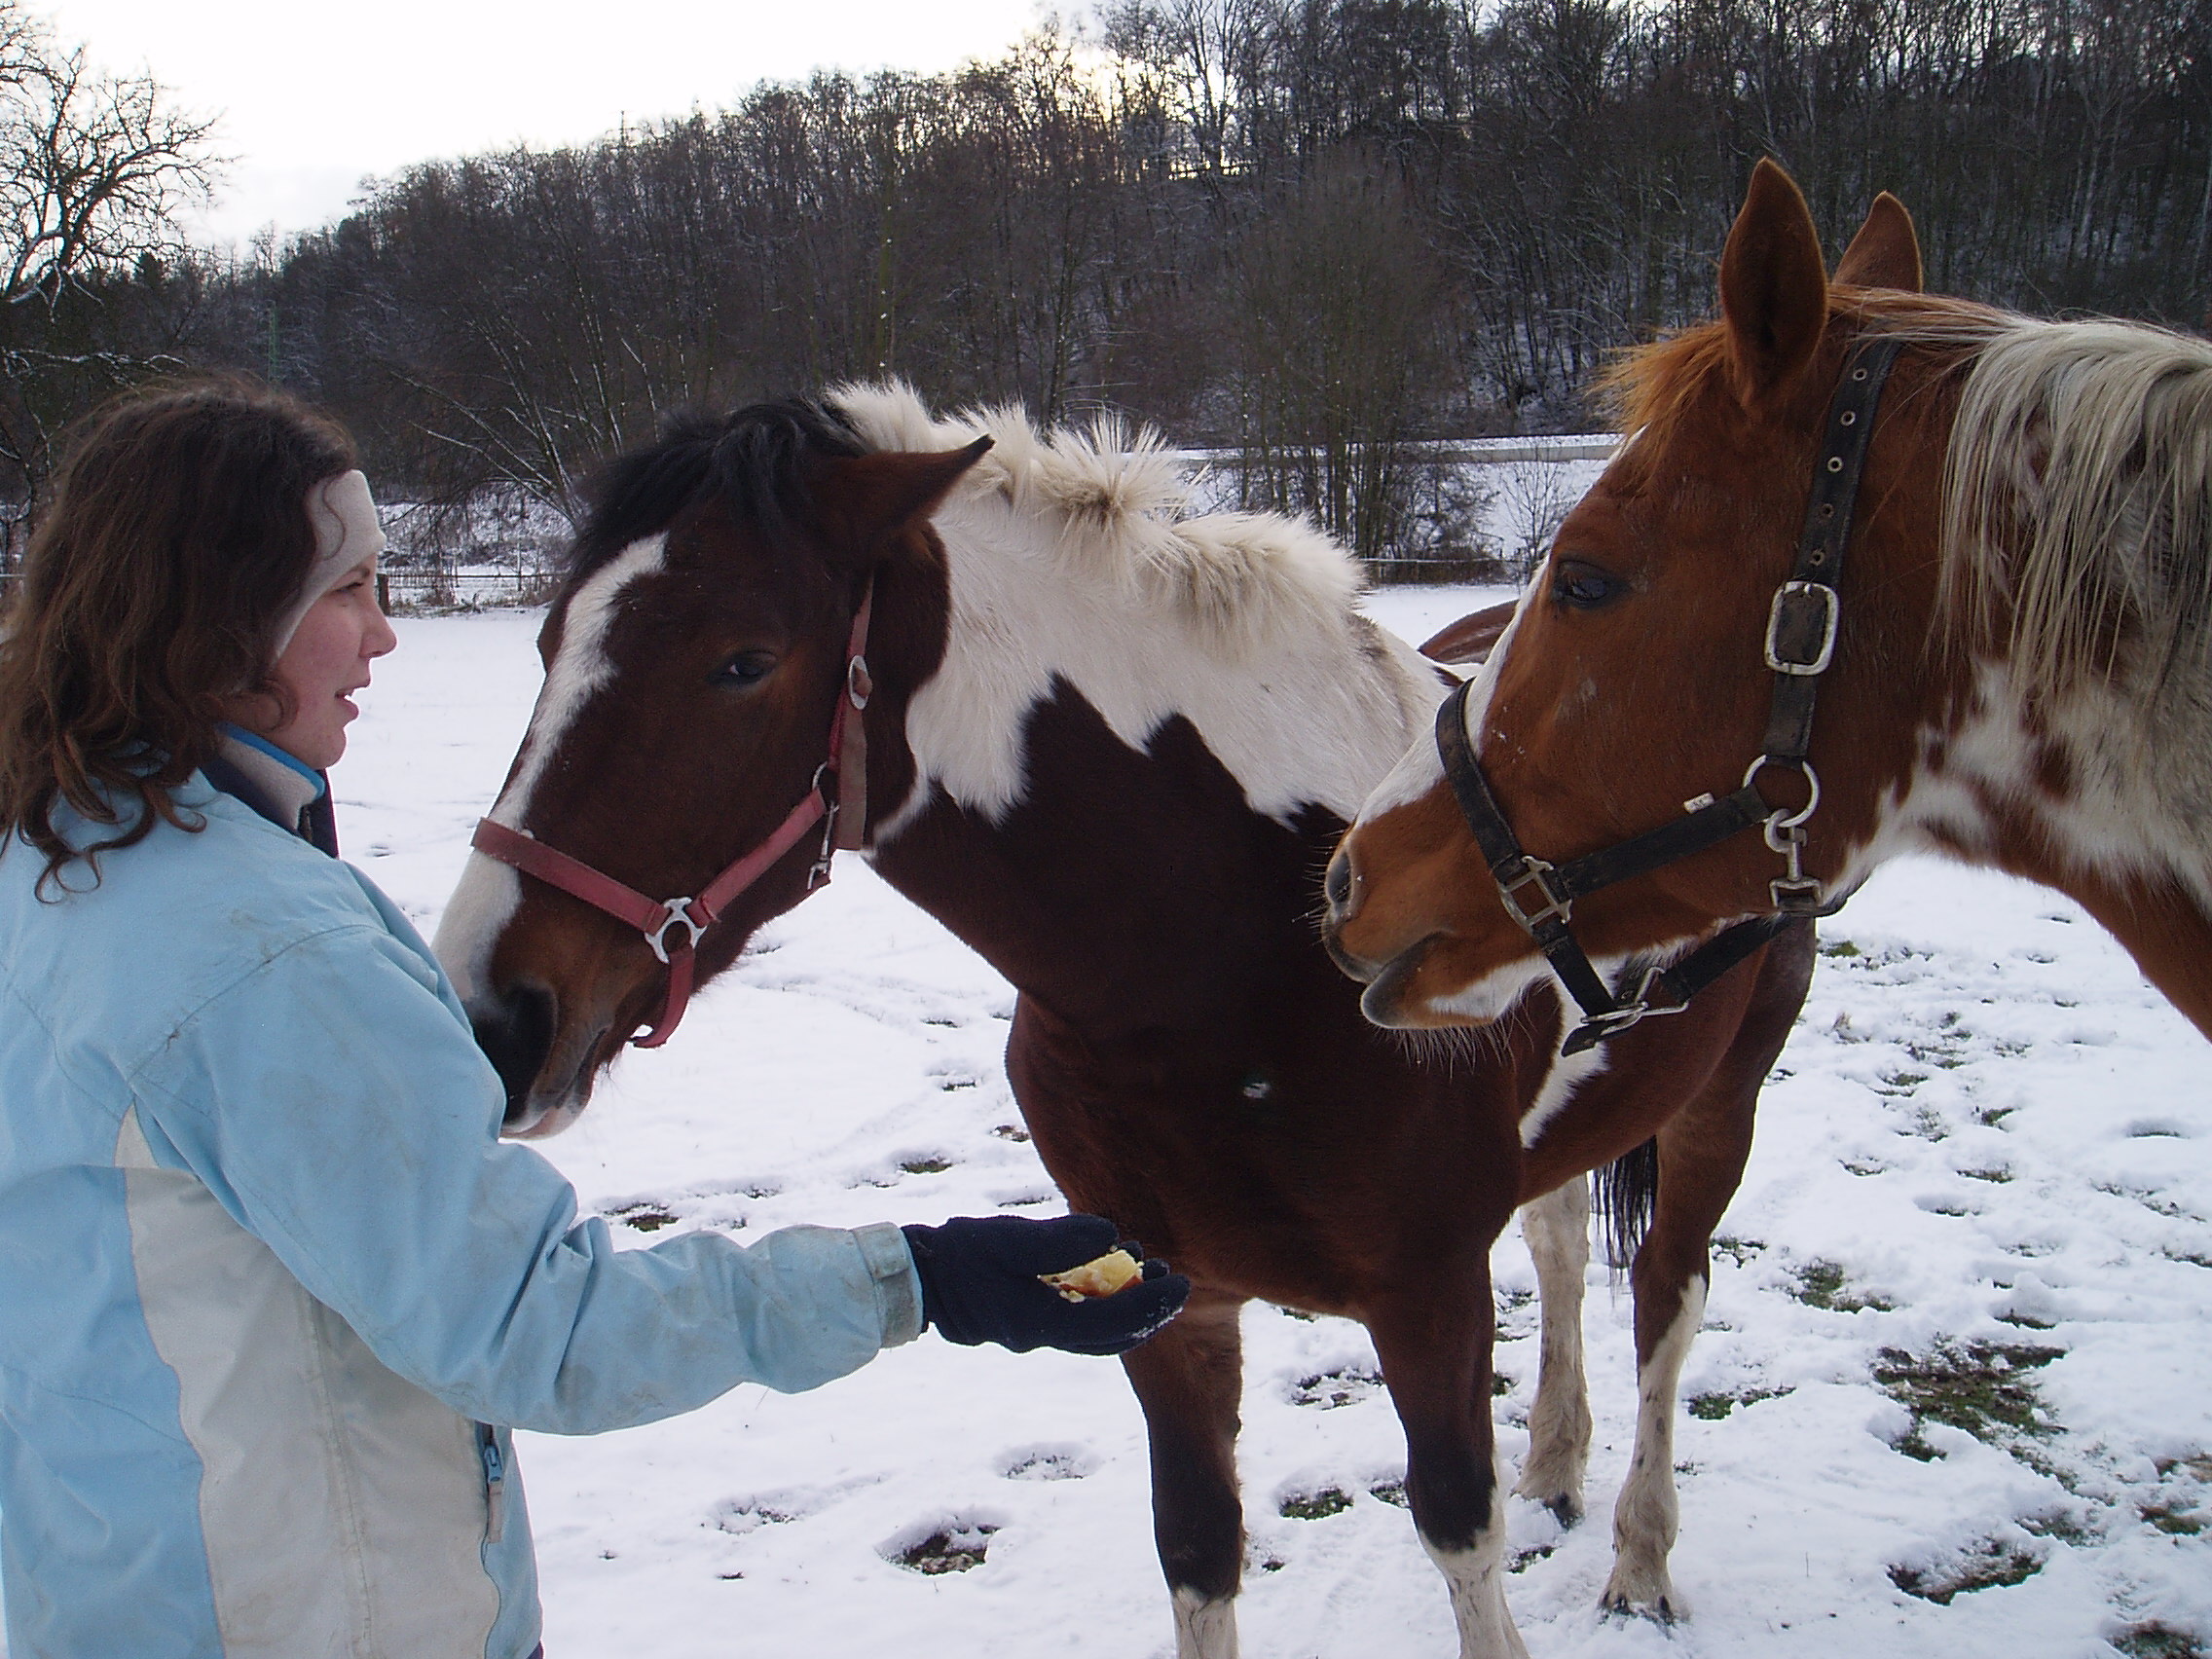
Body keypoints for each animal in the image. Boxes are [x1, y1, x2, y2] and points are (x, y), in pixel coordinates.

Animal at [431, 383, 1814, 1654]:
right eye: (549, 643)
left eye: (742, 661)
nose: (497, 1016)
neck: (1236, 957)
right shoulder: (1169, 1301)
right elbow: (1198, 1551)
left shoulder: (1427, 1295)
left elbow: (1460, 1539)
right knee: (1565, 1247)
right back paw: (1556, 1465)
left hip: (1720, 1106)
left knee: (1666, 1305)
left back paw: (1639, 1560)